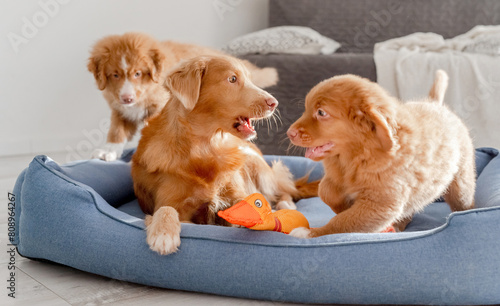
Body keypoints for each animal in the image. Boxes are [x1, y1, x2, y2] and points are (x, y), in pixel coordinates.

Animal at [88, 32, 280, 161]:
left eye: (138, 74)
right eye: (115, 75)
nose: (274, 103)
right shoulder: (119, 108)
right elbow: (116, 130)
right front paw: (109, 150)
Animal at [130, 55, 316, 256]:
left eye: (250, 79)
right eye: (232, 79)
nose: (274, 103)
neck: (206, 147)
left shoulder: (238, 193)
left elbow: (251, 203)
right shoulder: (170, 202)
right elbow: (165, 209)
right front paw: (163, 234)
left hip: (257, 166)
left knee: (283, 191)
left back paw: (286, 205)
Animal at [288, 70, 474, 238]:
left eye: (321, 113)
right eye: (306, 109)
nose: (290, 133)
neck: (356, 155)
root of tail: (436, 105)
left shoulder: (380, 204)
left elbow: (344, 222)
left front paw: (311, 233)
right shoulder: (335, 177)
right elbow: (325, 190)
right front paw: (343, 206)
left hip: (461, 184)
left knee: (464, 201)